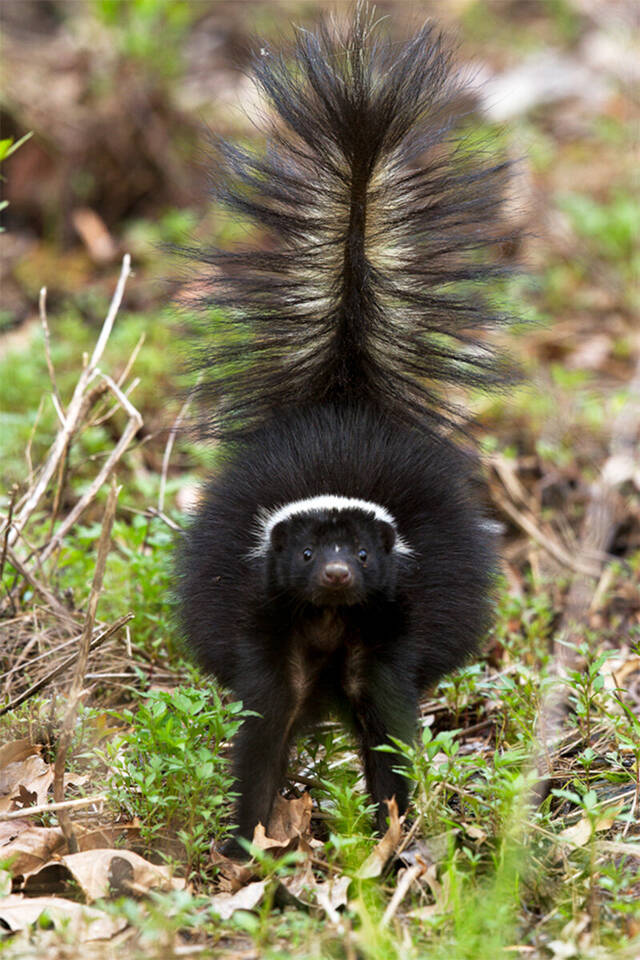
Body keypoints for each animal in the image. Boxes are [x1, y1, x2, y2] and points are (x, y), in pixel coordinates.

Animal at [179, 3, 516, 852]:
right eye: (307, 552)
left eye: (360, 554)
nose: (335, 574)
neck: (330, 623)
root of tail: (345, 389)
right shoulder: (266, 631)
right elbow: (263, 735)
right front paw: (247, 842)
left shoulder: (389, 634)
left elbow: (389, 729)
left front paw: (395, 832)